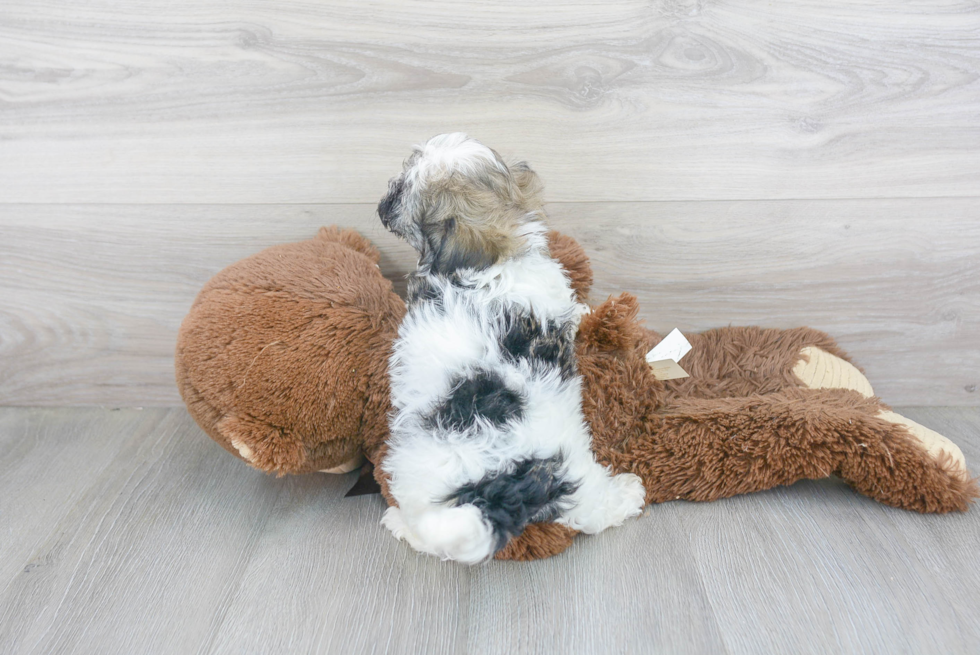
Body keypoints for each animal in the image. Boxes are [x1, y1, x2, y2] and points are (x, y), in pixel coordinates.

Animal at [378, 133, 648, 564]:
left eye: (402, 184)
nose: (382, 203)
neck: (487, 259)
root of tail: (489, 490)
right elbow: (571, 312)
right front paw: (586, 312)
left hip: (416, 479)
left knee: (432, 533)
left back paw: (399, 524)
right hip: (569, 466)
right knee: (588, 511)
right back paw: (628, 493)